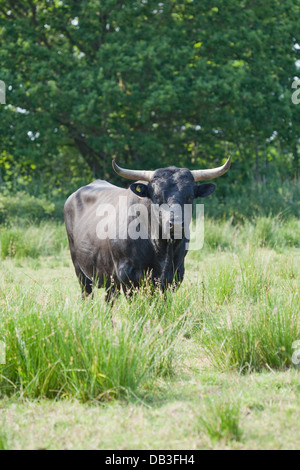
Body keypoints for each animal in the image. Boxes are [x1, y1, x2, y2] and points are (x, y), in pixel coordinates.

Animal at [64, 158, 231, 302]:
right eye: (157, 196)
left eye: (190, 196)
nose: (176, 224)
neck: (160, 246)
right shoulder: (127, 276)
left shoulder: (174, 276)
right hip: (80, 270)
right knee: (88, 295)